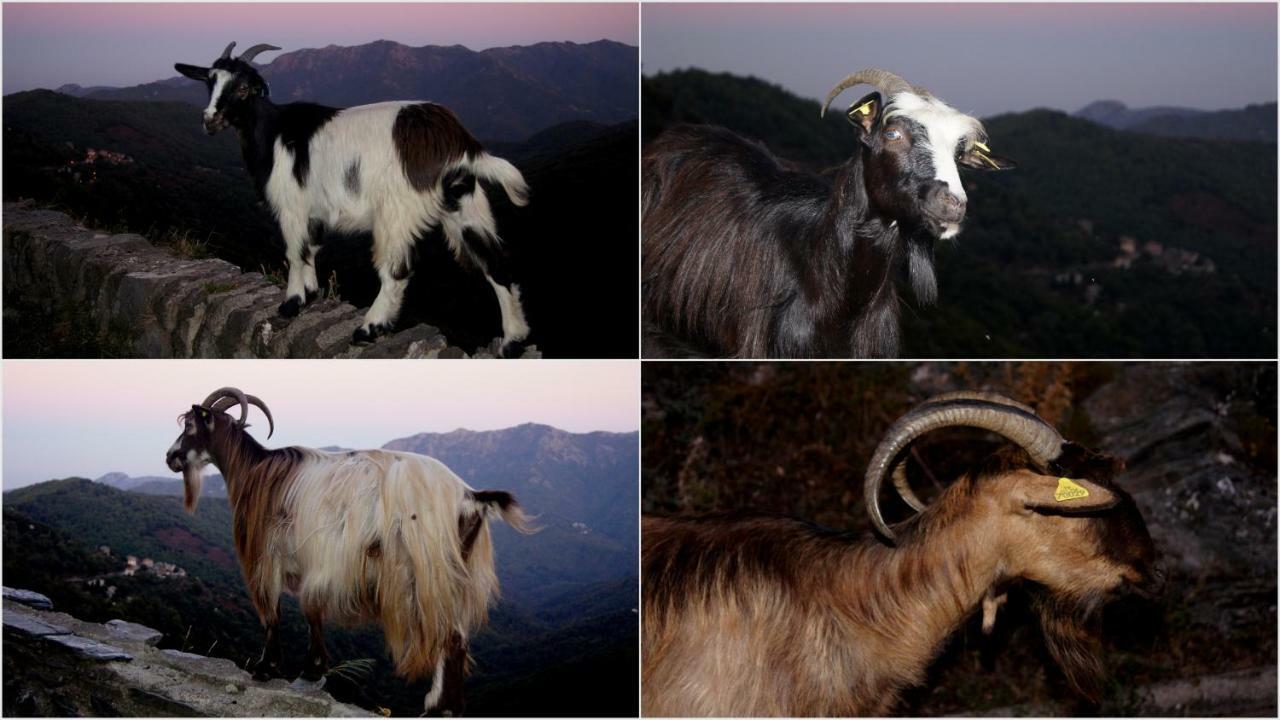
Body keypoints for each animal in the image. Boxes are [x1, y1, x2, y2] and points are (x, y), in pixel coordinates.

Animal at [175, 41, 529, 353]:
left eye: (245, 88)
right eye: (210, 81)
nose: (210, 120)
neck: (273, 133)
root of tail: (457, 139)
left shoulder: (292, 206)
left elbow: (294, 252)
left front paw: (291, 303)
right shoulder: (315, 212)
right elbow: (311, 248)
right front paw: (310, 294)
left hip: (397, 210)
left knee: (398, 269)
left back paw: (370, 327)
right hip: (465, 204)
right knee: (496, 265)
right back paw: (513, 341)